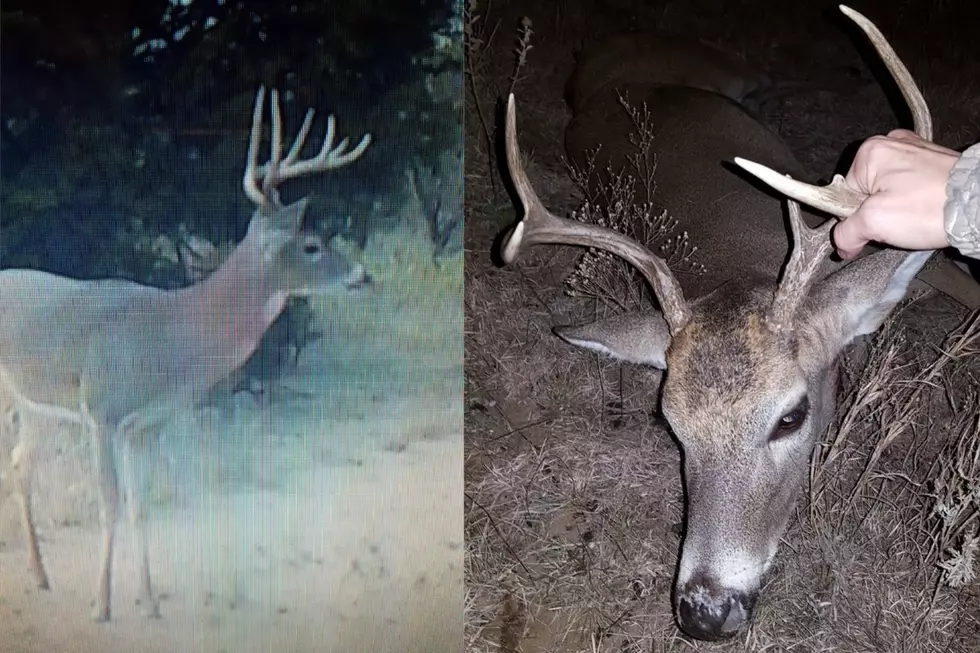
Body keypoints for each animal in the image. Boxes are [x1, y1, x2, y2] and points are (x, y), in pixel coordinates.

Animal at [0, 86, 372, 622]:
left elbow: (141, 505)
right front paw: (102, 605)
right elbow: (110, 503)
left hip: (38, 409)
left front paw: (150, 600)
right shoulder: (103, 410)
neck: (176, 335)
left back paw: (40, 575)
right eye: (312, 245)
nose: (364, 275)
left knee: (20, 464)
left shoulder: (149, 424)